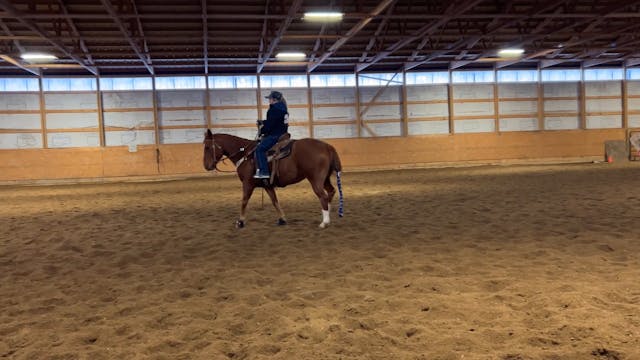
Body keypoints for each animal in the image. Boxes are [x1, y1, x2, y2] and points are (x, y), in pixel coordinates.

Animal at [204, 130, 344, 228]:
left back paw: (324, 222)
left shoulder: (247, 184)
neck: (245, 154)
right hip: (325, 179)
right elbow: (275, 201)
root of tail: (327, 147)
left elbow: (244, 201)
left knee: (323, 196)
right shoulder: (267, 185)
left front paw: (240, 222)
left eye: (207, 147)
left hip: (315, 179)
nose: (206, 166)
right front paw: (282, 219)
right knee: (331, 192)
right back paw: (328, 214)